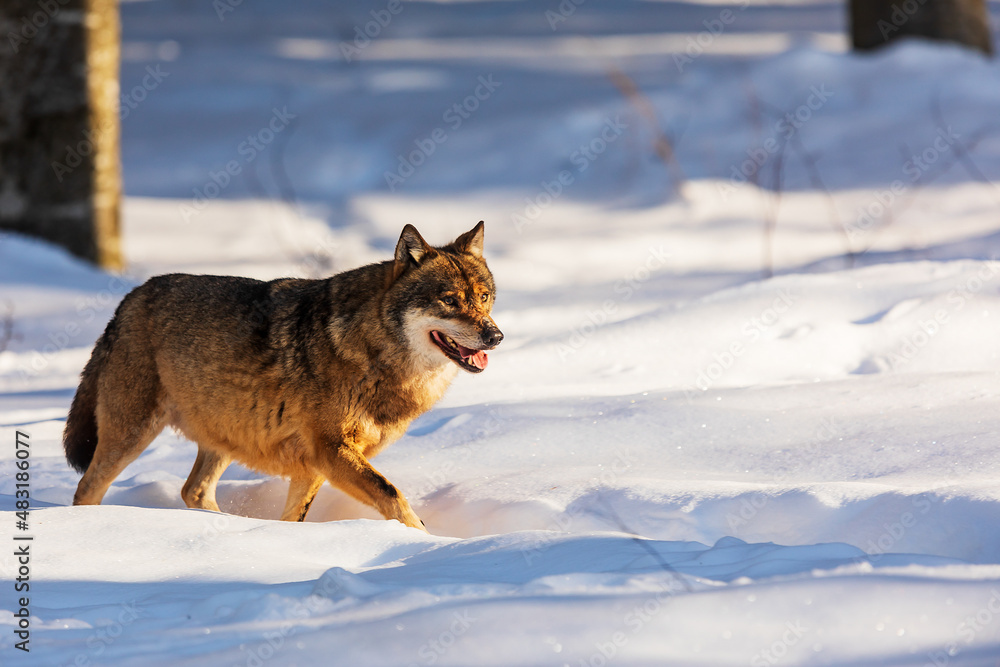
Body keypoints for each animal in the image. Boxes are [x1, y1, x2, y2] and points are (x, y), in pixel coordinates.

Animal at [61, 224, 500, 532]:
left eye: (483, 298)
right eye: (449, 301)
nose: (495, 337)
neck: (371, 351)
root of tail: (130, 298)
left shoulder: (314, 466)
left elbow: (295, 518)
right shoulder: (331, 451)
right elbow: (392, 494)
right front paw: (425, 541)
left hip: (222, 437)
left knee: (193, 490)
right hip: (131, 435)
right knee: (87, 489)